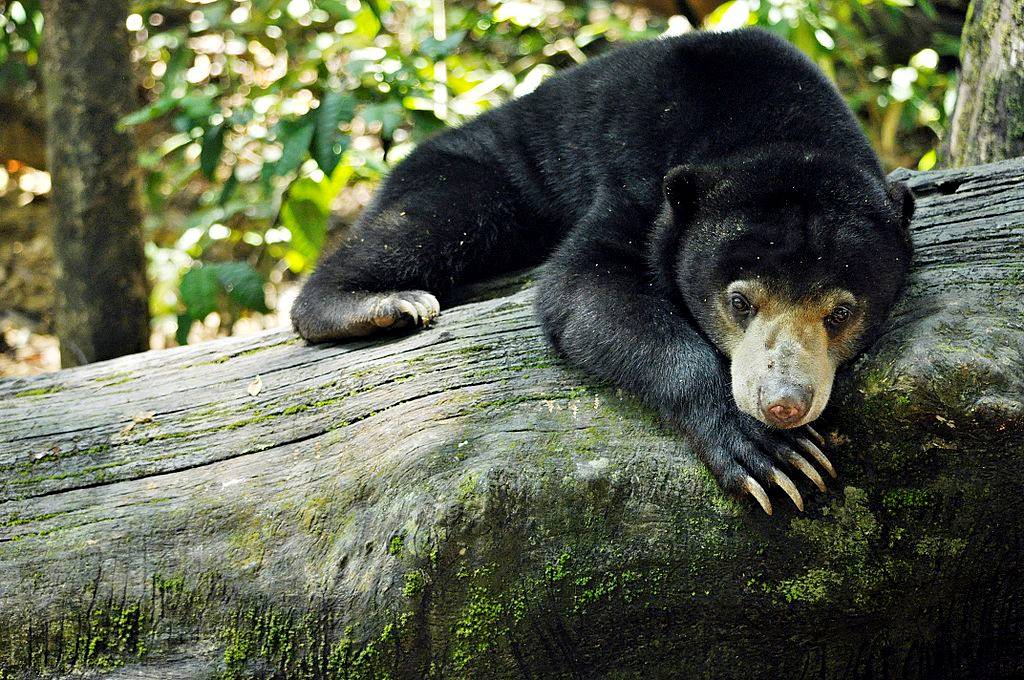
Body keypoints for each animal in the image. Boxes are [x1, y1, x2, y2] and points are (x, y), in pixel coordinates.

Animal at [292, 26, 917, 516]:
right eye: (740, 302)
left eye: (841, 312)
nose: (783, 404)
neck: (774, 125)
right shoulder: (640, 178)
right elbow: (582, 284)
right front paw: (770, 453)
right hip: (472, 173)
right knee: (435, 219)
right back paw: (379, 306)